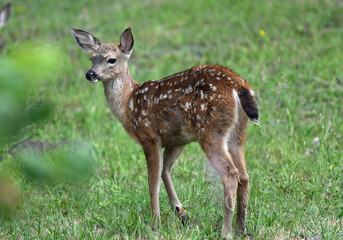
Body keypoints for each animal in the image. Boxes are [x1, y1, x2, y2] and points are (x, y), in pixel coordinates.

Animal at [70, 27, 258, 239]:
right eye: (92, 58)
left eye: (111, 59)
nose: (90, 74)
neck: (128, 105)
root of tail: (239, 86)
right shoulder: (176, 140)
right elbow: (165, 171)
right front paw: (180, 211)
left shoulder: (149, 136)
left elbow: (153, 182)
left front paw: (155, 224)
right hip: (237, 134)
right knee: (244, 176)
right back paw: (240, 228)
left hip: (210, 130)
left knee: (231, 174)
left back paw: (226, 232)